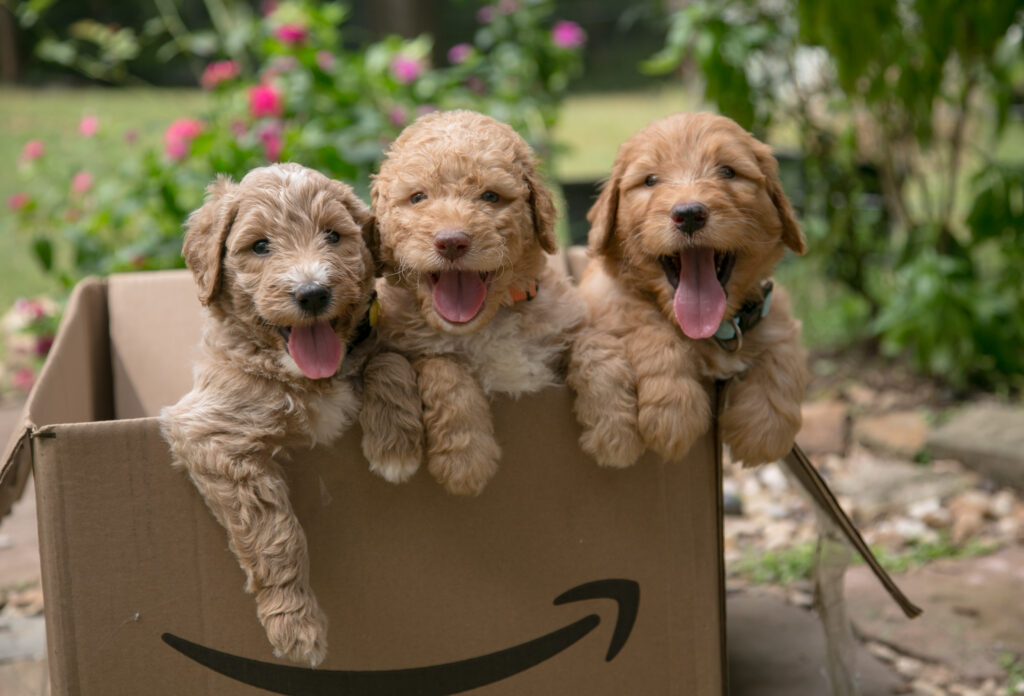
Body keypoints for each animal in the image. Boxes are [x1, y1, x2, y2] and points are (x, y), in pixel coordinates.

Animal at [156, 160, 419, 667]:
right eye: (260, 246)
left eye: (333, 236)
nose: (313, 293)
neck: (307, 375)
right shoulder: (213, 433)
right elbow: (275, 535)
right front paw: (295, 626)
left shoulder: (373, 342)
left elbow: (389, 359)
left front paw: (395, 448)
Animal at [364, 110, 643, 495]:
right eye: (418, 197)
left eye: (490, 196)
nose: (451, 242)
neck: (489, 323)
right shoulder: (411, 347)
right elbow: (445, 371)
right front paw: (465, 462)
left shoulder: (564, 322)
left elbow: (595, 344)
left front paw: (614, 433)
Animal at [585, 112, 806, 466]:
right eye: (650, 180)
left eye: (728, 171)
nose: (689, 214)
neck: (710, 331)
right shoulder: (607, 299)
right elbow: (648, 326)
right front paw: (673, 413)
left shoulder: (771, 307)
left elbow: (782, 351)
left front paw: (765, 429)